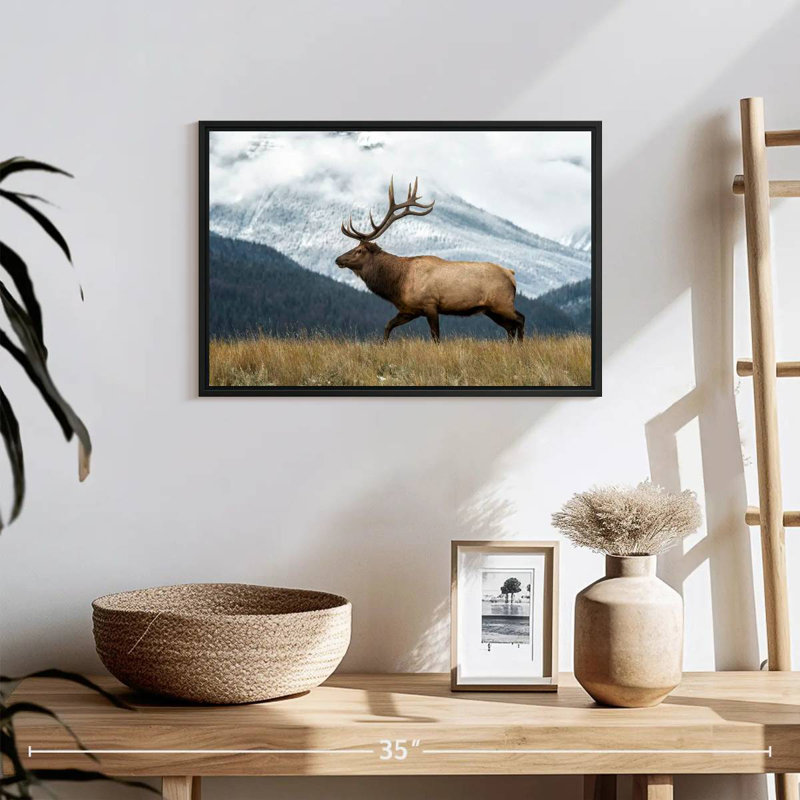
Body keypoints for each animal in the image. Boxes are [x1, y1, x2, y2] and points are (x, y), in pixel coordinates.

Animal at [335, 178, 525, 343]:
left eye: (359, 250)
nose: (338, 259)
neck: (398, 283)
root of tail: (511, 274)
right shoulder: (409, 309)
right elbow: (388, 326)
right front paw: (382, 345)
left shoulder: (430, 304)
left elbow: (436, 337)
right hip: (491, 309)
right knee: (510, 327)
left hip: (502, 302)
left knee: (520, 319)